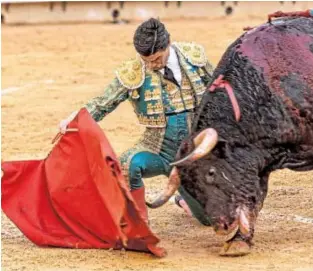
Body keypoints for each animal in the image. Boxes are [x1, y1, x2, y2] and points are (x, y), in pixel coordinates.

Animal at [147, 13, 312, 258]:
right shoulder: (257, 164)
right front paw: (238, 242)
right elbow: (255, 199)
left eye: (212, 173)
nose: (222, 226)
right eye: (190, 189)